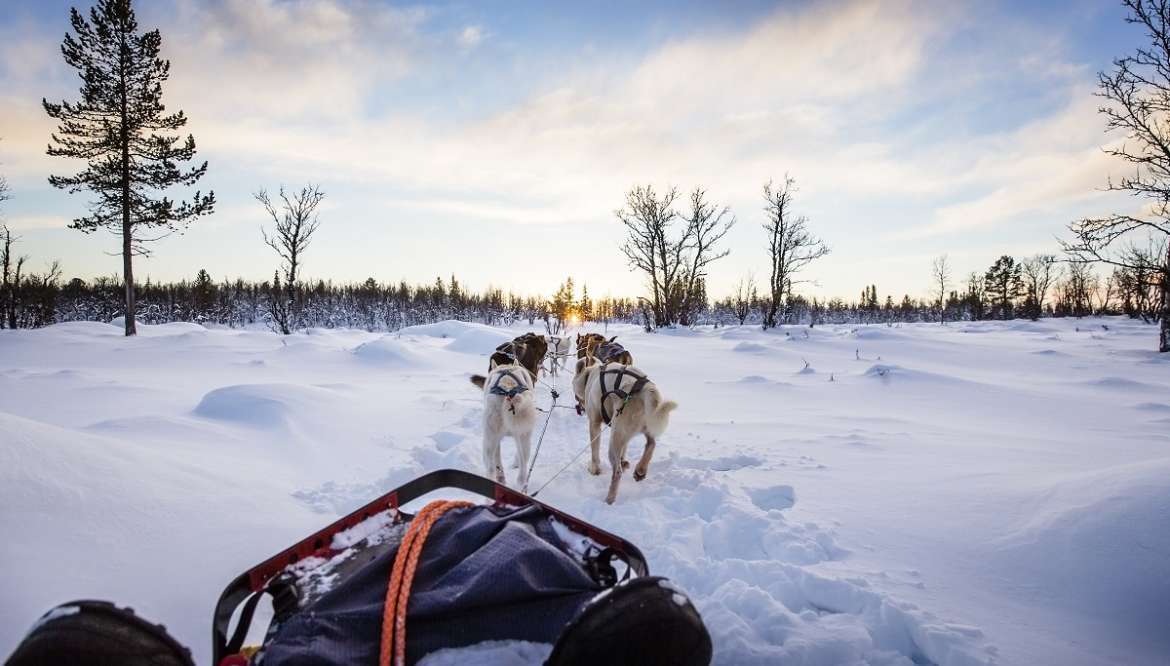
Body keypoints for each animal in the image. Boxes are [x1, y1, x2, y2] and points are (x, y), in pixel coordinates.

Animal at [568, 358, 673, 503]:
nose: (578, 407)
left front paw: (594, 469)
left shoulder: (594, 424)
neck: (590, 376)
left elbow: (595, 451)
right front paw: (624, 461)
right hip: (640, 428)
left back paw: (610, 498)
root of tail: (646, 389)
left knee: (617, 472)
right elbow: (625, 448)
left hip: (614, 440)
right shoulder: (624, 435)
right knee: (651, 444)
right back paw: (640, 470)